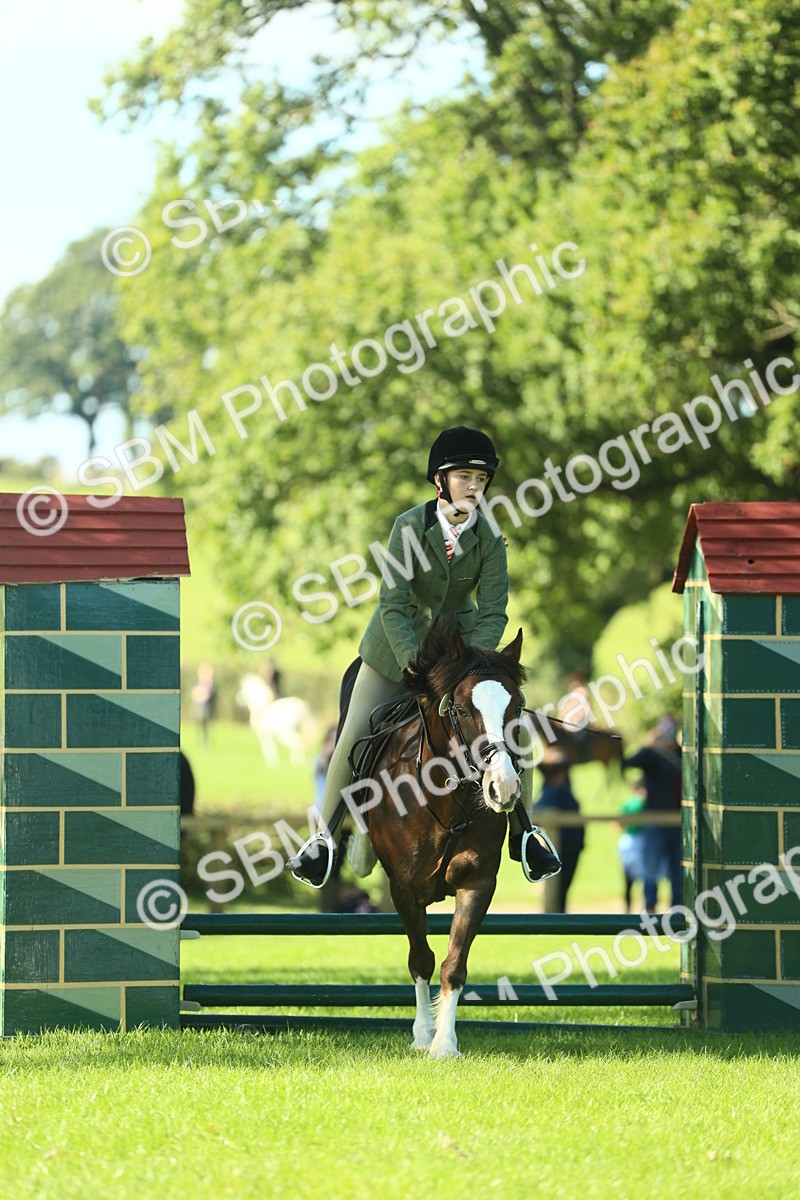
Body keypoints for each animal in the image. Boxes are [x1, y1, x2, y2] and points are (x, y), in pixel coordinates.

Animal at [357, 620, 527, 1059]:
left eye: (517, 708)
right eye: (462, 709)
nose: (503, 788)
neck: (446, 803)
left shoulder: (477, 884)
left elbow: (454, 963)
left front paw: (445, 1042)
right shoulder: (403, 889)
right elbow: (421, 959)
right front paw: (422, 1035)